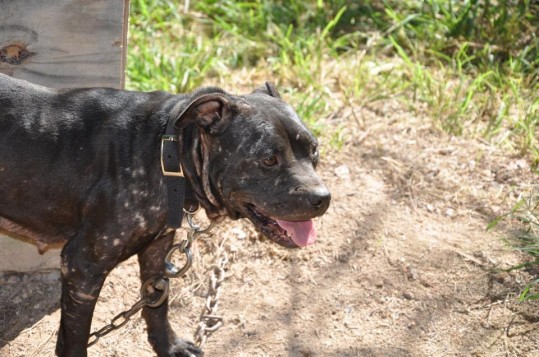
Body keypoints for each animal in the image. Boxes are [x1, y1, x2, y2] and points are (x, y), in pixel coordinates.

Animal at [0, 73, 332, 356]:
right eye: (268, 159)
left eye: (314, 150)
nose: (322, 198)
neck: (166, 153)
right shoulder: (82, 267)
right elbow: (76, 337)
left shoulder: (158, 249)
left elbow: (157, 305)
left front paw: (169, 346)